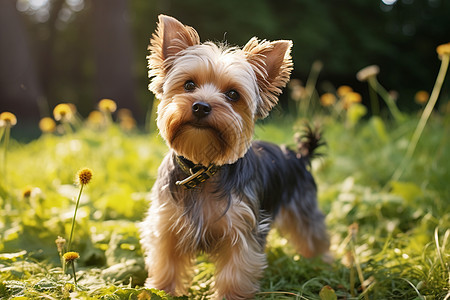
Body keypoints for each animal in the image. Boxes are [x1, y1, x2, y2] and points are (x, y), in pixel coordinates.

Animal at [141, 14, 330, 300]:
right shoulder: (167, 224)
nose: (201, 106)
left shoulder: (242, 229)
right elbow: (167, 262)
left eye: (232, 94)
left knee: (313, 234)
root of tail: (298, 155)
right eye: (189, 85)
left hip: (303, 205)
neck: (202, 168)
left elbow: (235, 271)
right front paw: (161, 290)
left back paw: (323, 263)